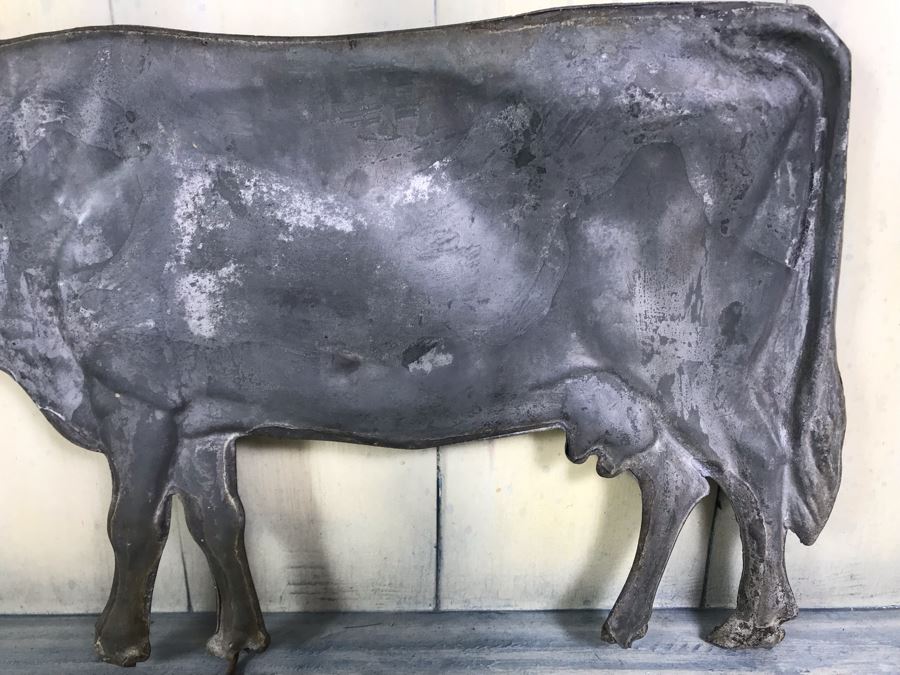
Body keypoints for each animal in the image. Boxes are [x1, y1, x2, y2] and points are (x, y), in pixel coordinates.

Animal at [0, 3, 849, 667]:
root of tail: (733, 25)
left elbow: (132, 525)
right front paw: (239, 637)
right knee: (677, 480)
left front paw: (118, 643)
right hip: (622, 389)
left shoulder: (130, 391)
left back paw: (753, 624)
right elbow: (219, 521)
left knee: (758, 468)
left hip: (697, 365)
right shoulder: (198, 410)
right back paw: (626, 624)